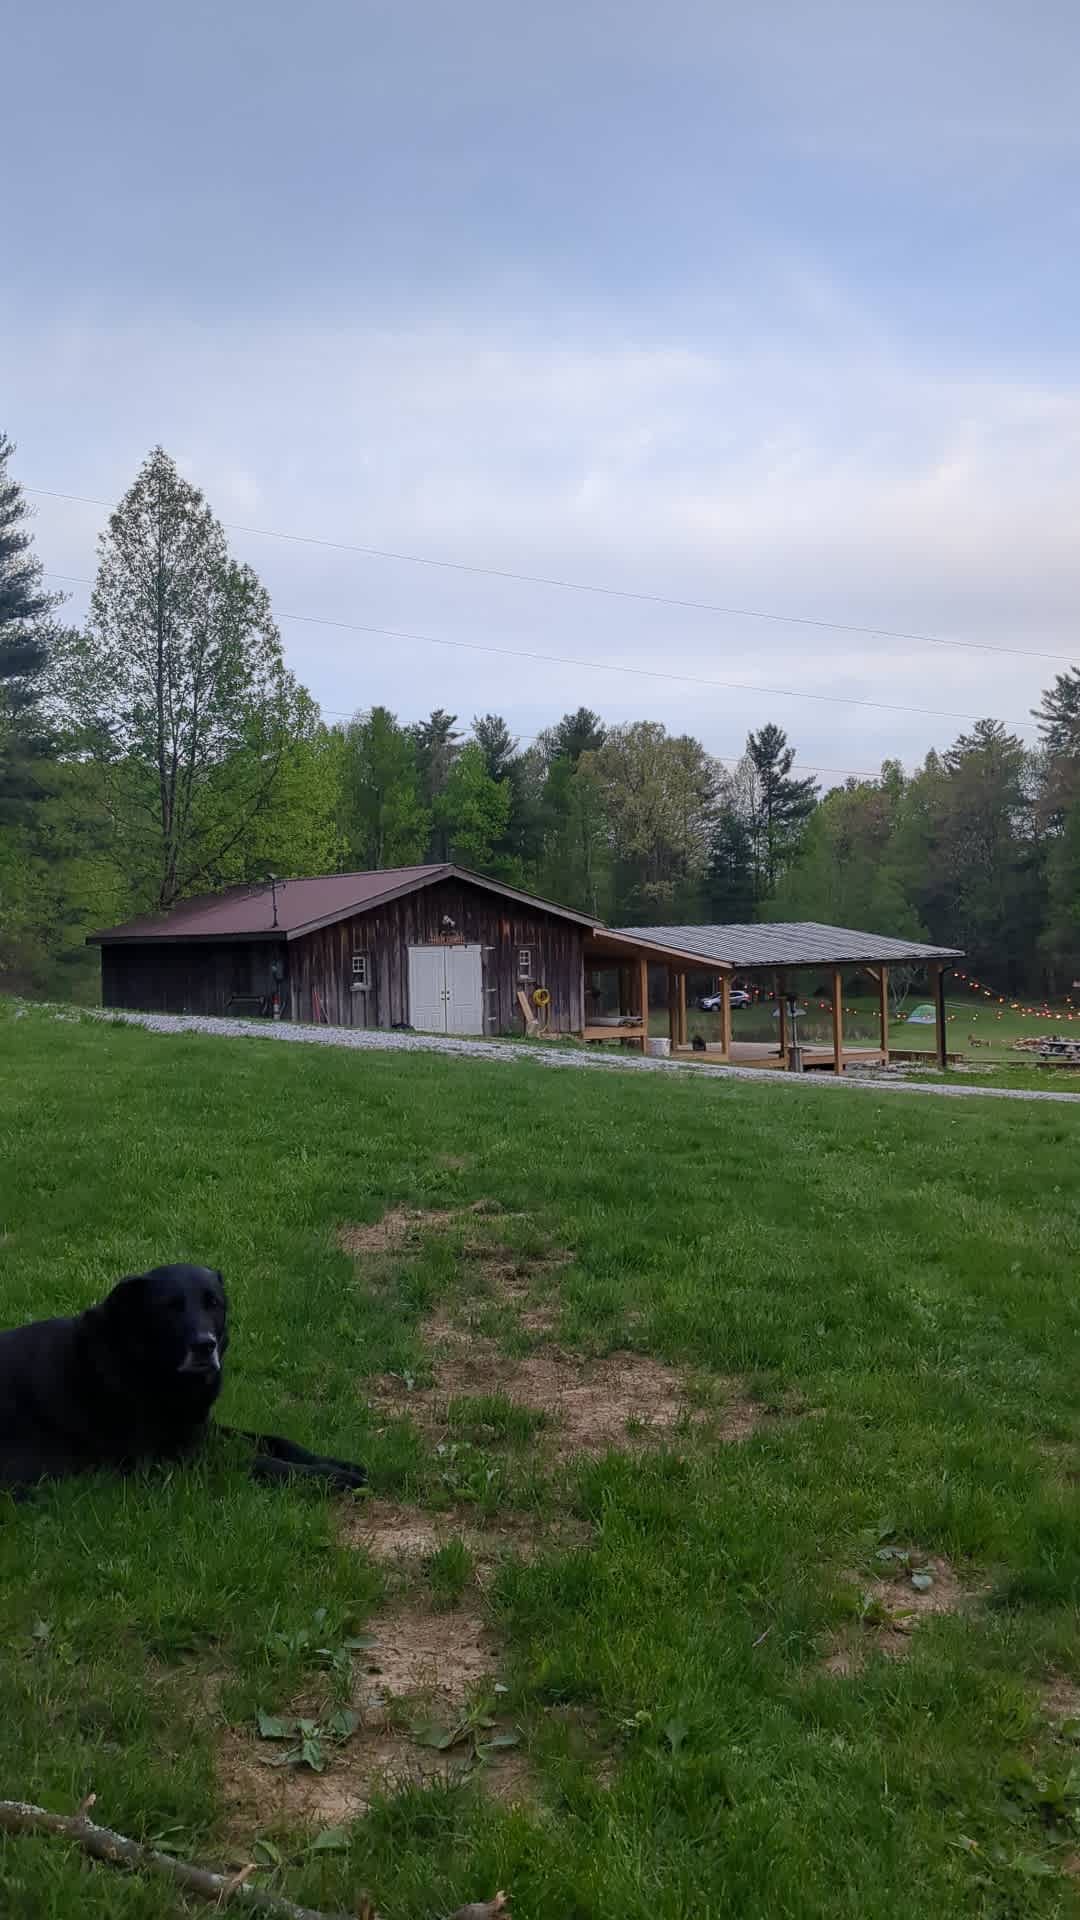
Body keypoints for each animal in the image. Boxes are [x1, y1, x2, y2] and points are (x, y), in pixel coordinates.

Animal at [0, 1259, 363, 1497]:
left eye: (213, 1303)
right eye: (170, 1307)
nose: (205, 1345)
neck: (144, 1363)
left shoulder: (197, 1428)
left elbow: (274, 1440)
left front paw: (339, 1463)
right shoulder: (176, 1458)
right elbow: (259, 1461)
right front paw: (330, 1478)